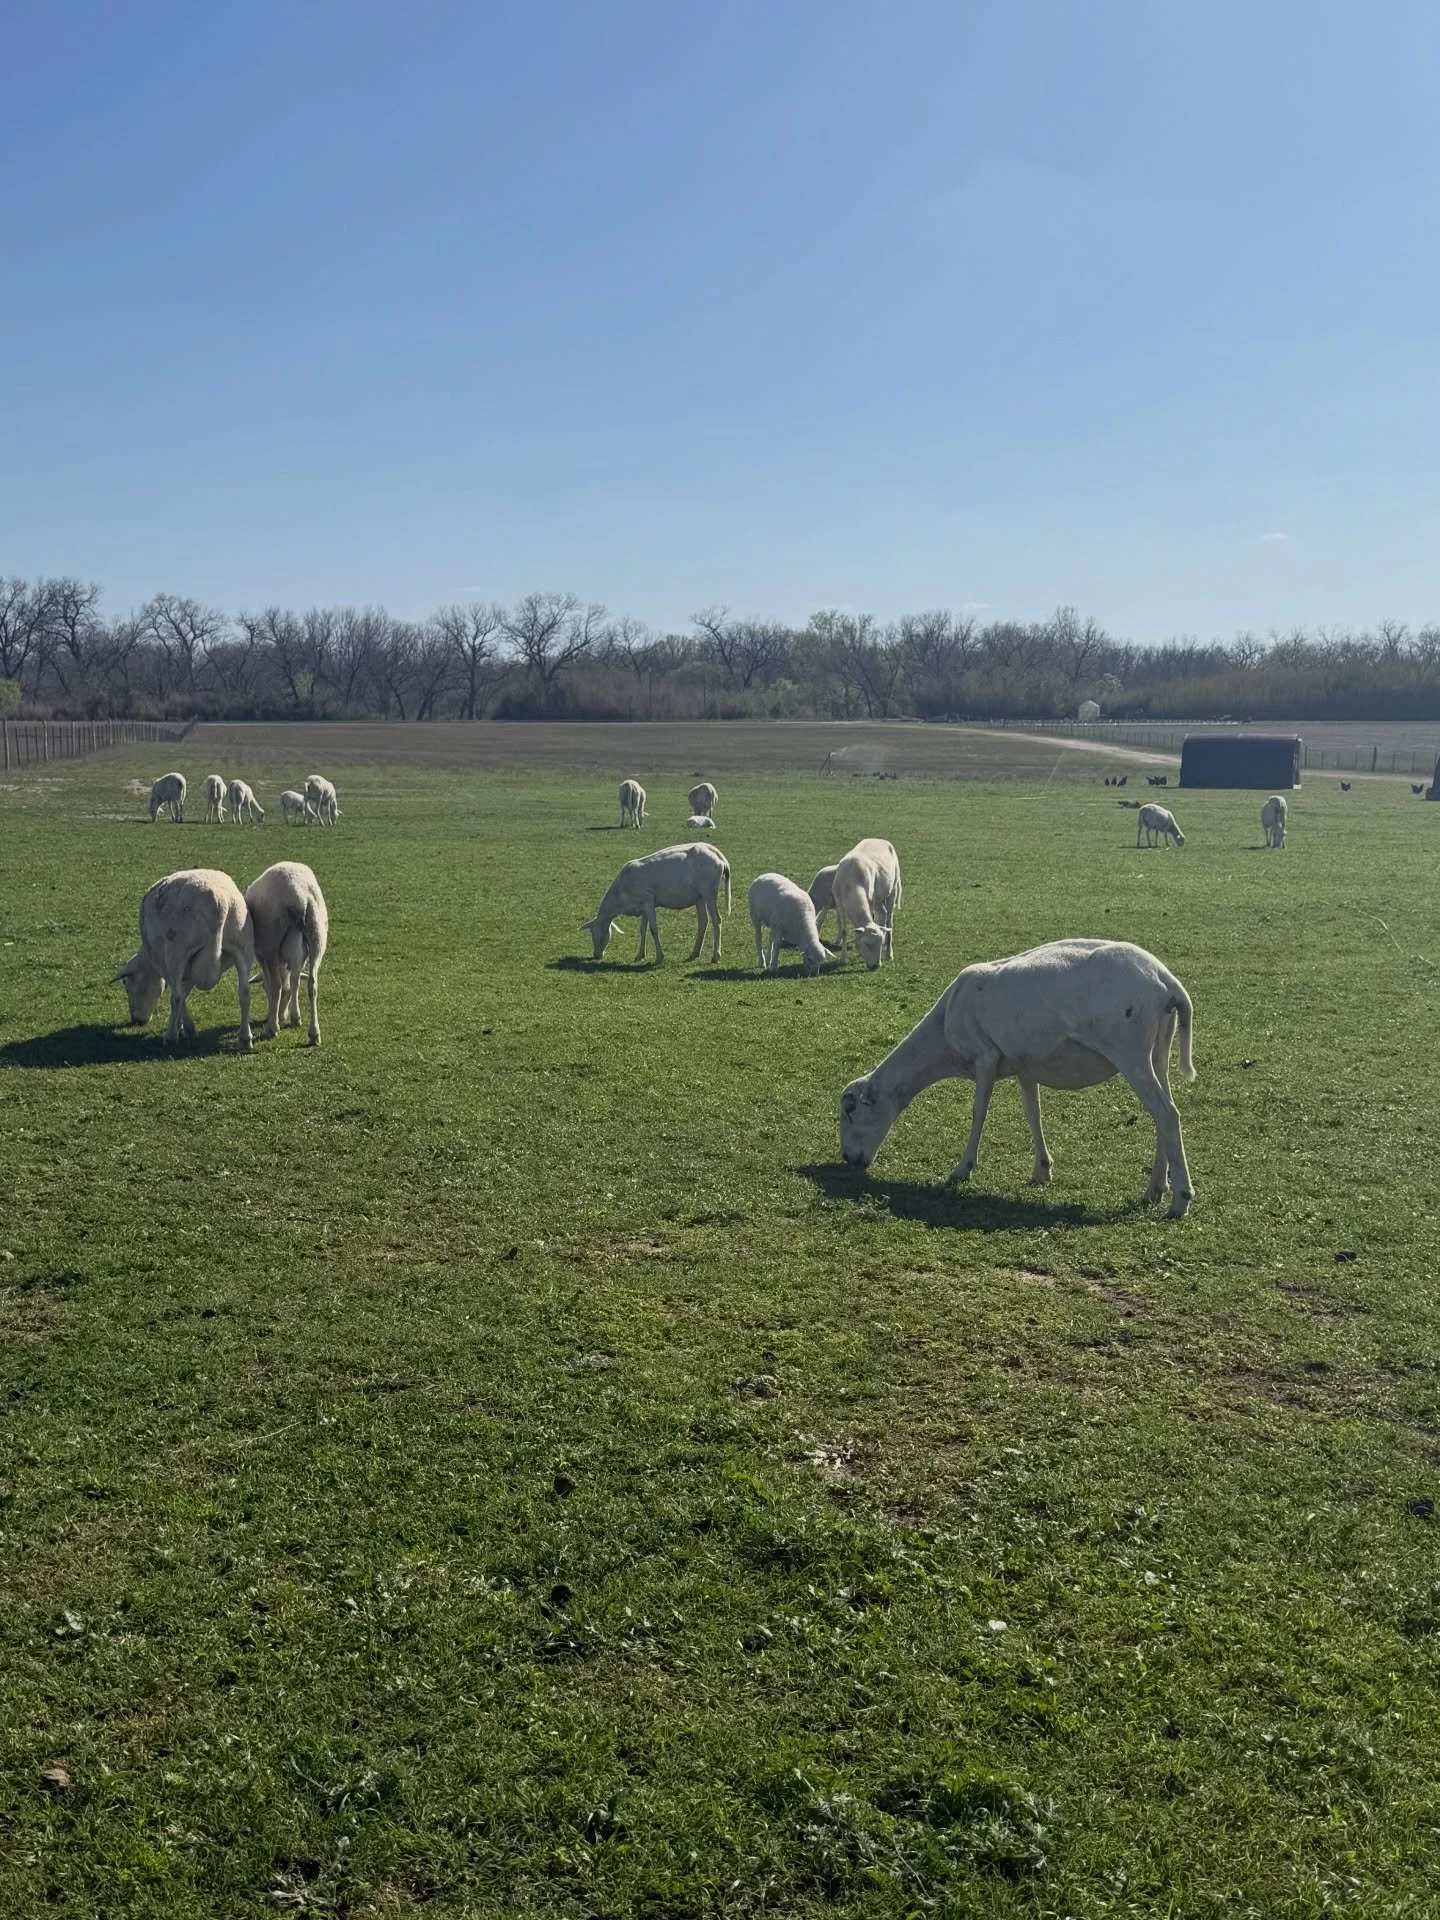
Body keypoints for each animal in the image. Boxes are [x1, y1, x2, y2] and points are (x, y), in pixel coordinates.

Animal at [112, 868, 254, 1050]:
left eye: (127, 985)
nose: (136, 1021)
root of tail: (218, 906)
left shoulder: (163, 963)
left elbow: (178, 993)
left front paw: (184, 1028)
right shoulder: (189, 969)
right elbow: (185, 991)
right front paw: (182, 1026)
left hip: (177, 951)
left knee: (177, 996)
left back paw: (171, 1036)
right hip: (242, 945)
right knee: (244, 992)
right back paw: (245, 1039)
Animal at [246, 860, 328, 1046]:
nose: (282, 1017)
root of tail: (299, 896)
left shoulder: (262, 954)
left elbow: (273, 985)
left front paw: (276, 1017)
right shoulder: (299, 956)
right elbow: (294, 982)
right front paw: (295, 1017)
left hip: (271, 940)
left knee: (277, 984)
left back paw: (272, 1028)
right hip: (317, 934)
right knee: (312, 984)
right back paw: (314, 1034)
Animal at [582, 842, 731, 965]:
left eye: (594, 934)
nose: (596, 956)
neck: (620, 896)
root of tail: (720, 857)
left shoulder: (648, 901)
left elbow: (653, 930)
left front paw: (659, 957)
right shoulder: (643, 907)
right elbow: (642, 930)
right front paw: (640, 955)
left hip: (709, 892)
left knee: (717, 920)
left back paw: (716, 956)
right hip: (699, 897)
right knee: (703, 922)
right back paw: (694, 954)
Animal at [833, 837, 902, 970]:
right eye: (867, 943)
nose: (876, 966)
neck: (852, 884)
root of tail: (878, 839)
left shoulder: (870, 901)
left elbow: (872, 918)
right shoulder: (840, 904)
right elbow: (844, 931)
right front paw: (843, 959)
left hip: (892, 889)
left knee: (889, 920)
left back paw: (889, 953)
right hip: (879, 898)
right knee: (883, 913)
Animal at [839, 937, 1196, 1217]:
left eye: (851, 1111)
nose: (847, 1159)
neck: (942, 1039)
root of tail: (1167, 982)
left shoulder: (984, 1056)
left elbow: (978, 1113)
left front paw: (962, 1170)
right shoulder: (1025, 1065)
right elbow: (1032, 1113)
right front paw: (1042, 1170)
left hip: (1129, 1050)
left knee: (1166, 1113)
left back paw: (1179, 1200)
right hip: (1157, 1049)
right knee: (1164, 1112)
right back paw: (1156, 1189)